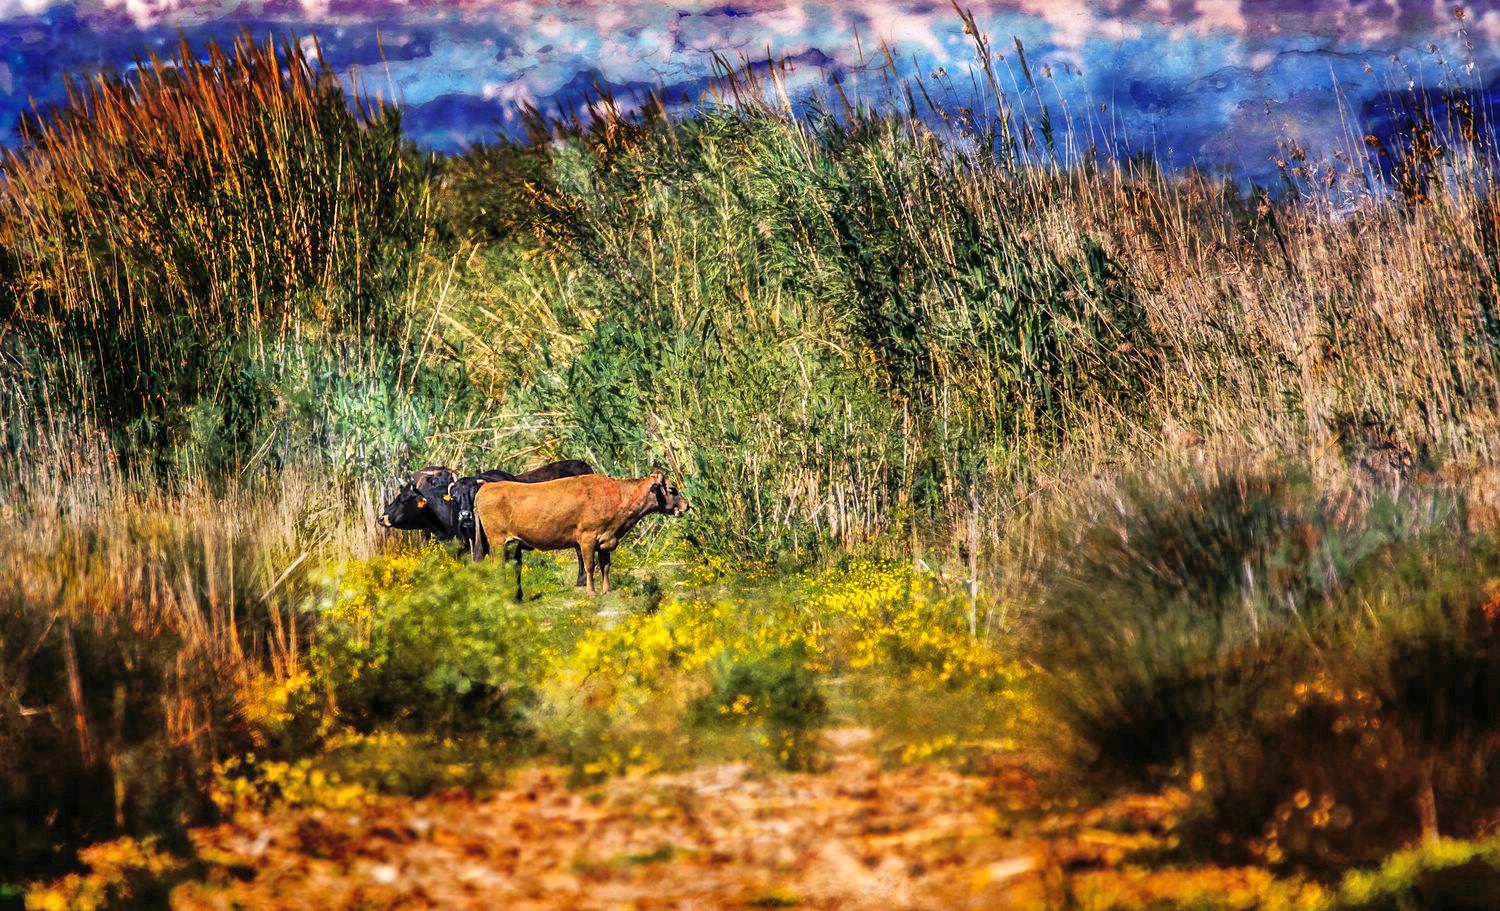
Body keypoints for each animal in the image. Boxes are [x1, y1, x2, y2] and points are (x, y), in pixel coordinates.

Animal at [474, 468, 690, 603]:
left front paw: (606, 590)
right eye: (672, 489)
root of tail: (486, 486)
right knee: (497, 567)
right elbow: (589, 566)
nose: (687, 505)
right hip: (497, 541)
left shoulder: (606, 539)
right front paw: (591, 592)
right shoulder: (587, 538)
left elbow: (606, 566)